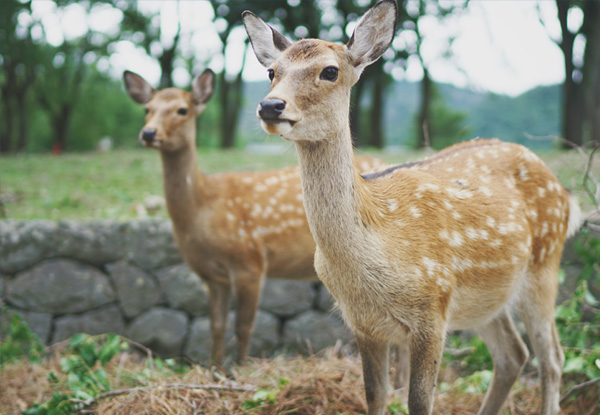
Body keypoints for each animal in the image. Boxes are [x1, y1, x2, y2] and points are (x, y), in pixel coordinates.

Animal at [122, 69, 386, 365]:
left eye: (182, 110)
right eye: (147, 109)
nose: (148, 132)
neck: (202, 209)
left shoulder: (250, 260)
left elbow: (244, 326)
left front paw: (240, 367)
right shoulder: (213, 276)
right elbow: (216, 325)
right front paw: (215, 369)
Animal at [243, 1, 582, 414]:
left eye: (330, 70)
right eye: (271, 71)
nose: (270, 104)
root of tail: (564, 192)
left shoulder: (432, 310)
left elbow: (419, 400)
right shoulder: (362, 323)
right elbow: (375, 395)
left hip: (544, 266)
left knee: (552, 357)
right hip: (488, 297)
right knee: (513, 355)